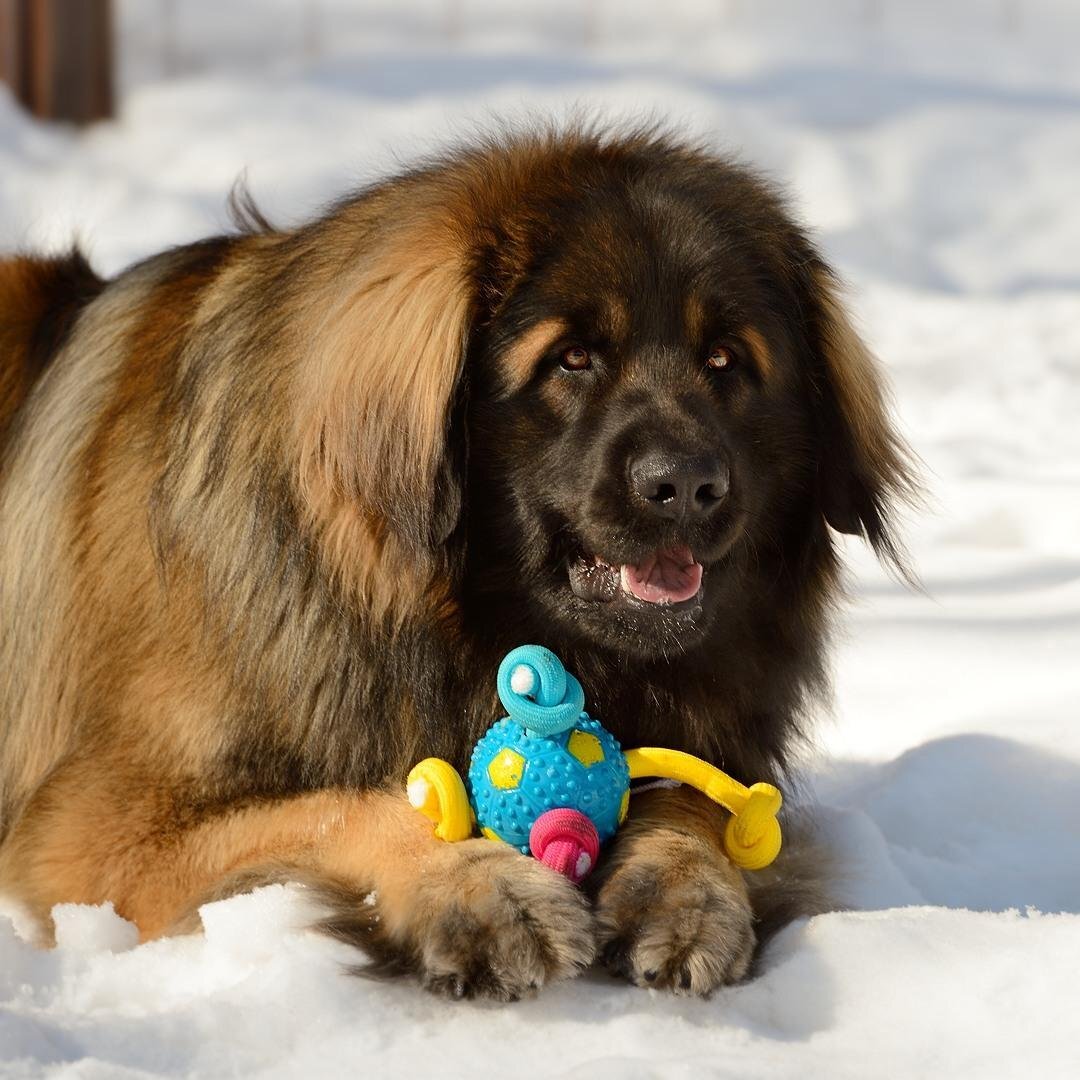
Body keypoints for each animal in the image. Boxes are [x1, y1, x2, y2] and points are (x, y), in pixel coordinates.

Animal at [0, 128, 911, 1002]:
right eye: (572, 359)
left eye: (725, 359)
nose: (685, 484)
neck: (445, 621)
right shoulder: (90, 830)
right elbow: (361, 804)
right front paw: (480, 889)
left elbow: (695, 795)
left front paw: (687, 893)